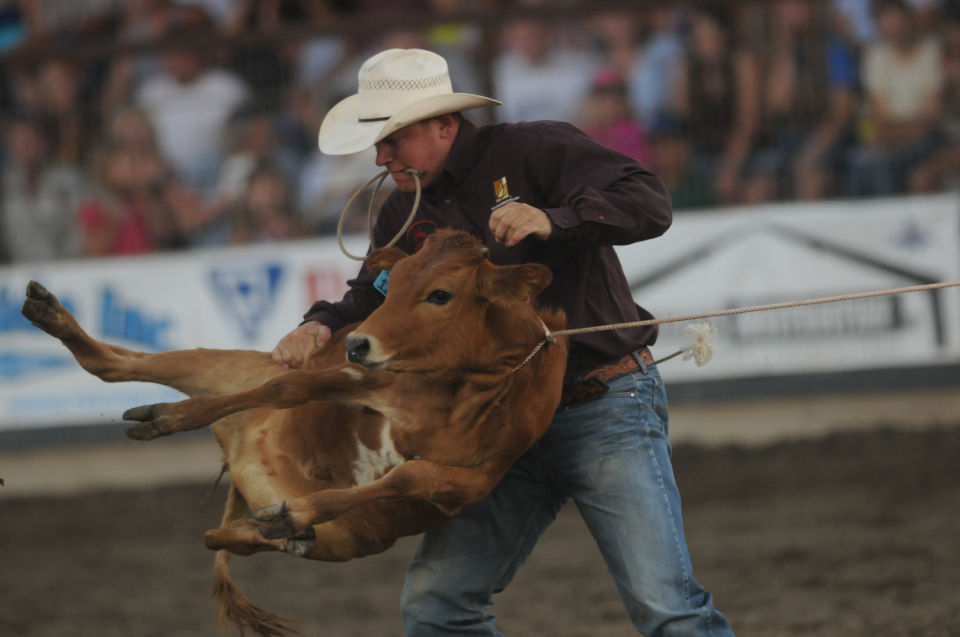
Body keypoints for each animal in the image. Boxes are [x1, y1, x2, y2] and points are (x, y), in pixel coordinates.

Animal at [22, 231, 568, 632]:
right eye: (395, 282)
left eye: (441, 294)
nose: (357, 342)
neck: (460, 393)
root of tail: (237, 456)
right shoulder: (364, 379)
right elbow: (290, 385)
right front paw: (172, 418)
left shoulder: (475, 479)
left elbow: (405, 477)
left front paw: (295, 514)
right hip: (227, 367)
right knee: (116, 365)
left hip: (343, 542)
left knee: (218, 537)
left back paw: (281, 531)